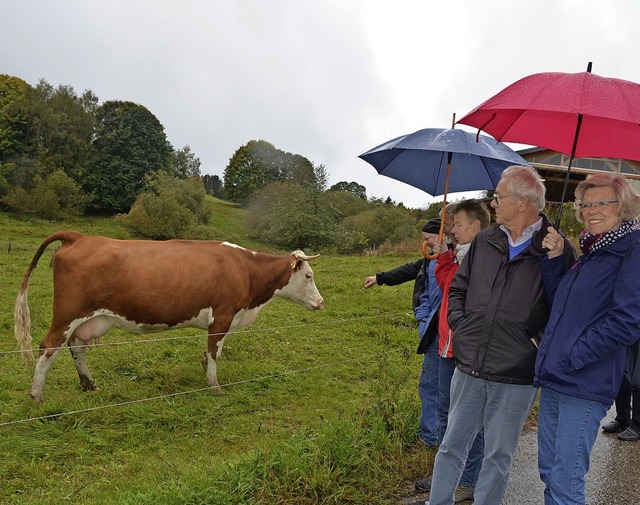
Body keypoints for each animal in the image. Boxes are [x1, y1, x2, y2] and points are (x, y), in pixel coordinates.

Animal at [15, 229, 324, 402]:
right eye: (308, 276)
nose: (321, 303)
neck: (246, 270)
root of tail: (79, 237)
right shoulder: (223, 314)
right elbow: (215, 350)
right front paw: (214, 385)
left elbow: (213, 351)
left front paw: (205, 370)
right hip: (67, 313)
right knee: (47, 348)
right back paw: (36, 396)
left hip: (89, 319)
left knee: (76, 348)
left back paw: (89, 385)